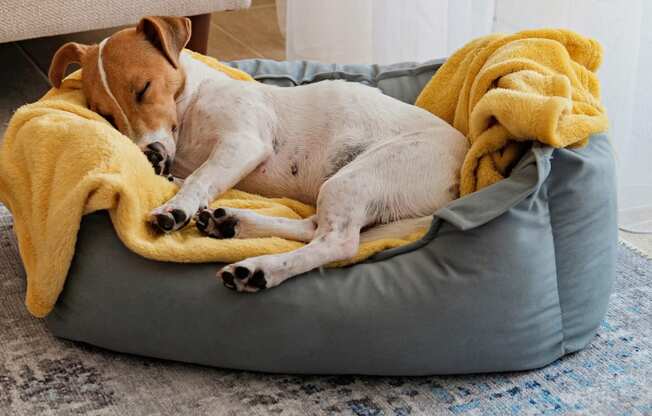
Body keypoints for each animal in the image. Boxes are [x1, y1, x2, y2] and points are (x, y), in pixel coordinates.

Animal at [49, 16, 468, 292]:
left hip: (357, 176)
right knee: (313, 227)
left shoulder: (243, 142)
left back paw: (259, 268)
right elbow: (190, 178)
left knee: (336, 242)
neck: (191, 106)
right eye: (104, 114)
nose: (149, 155)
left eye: (143, 89)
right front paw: (177, 188)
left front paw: (175, 208)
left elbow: (200, 178)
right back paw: (232, 222)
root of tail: (459, 182)